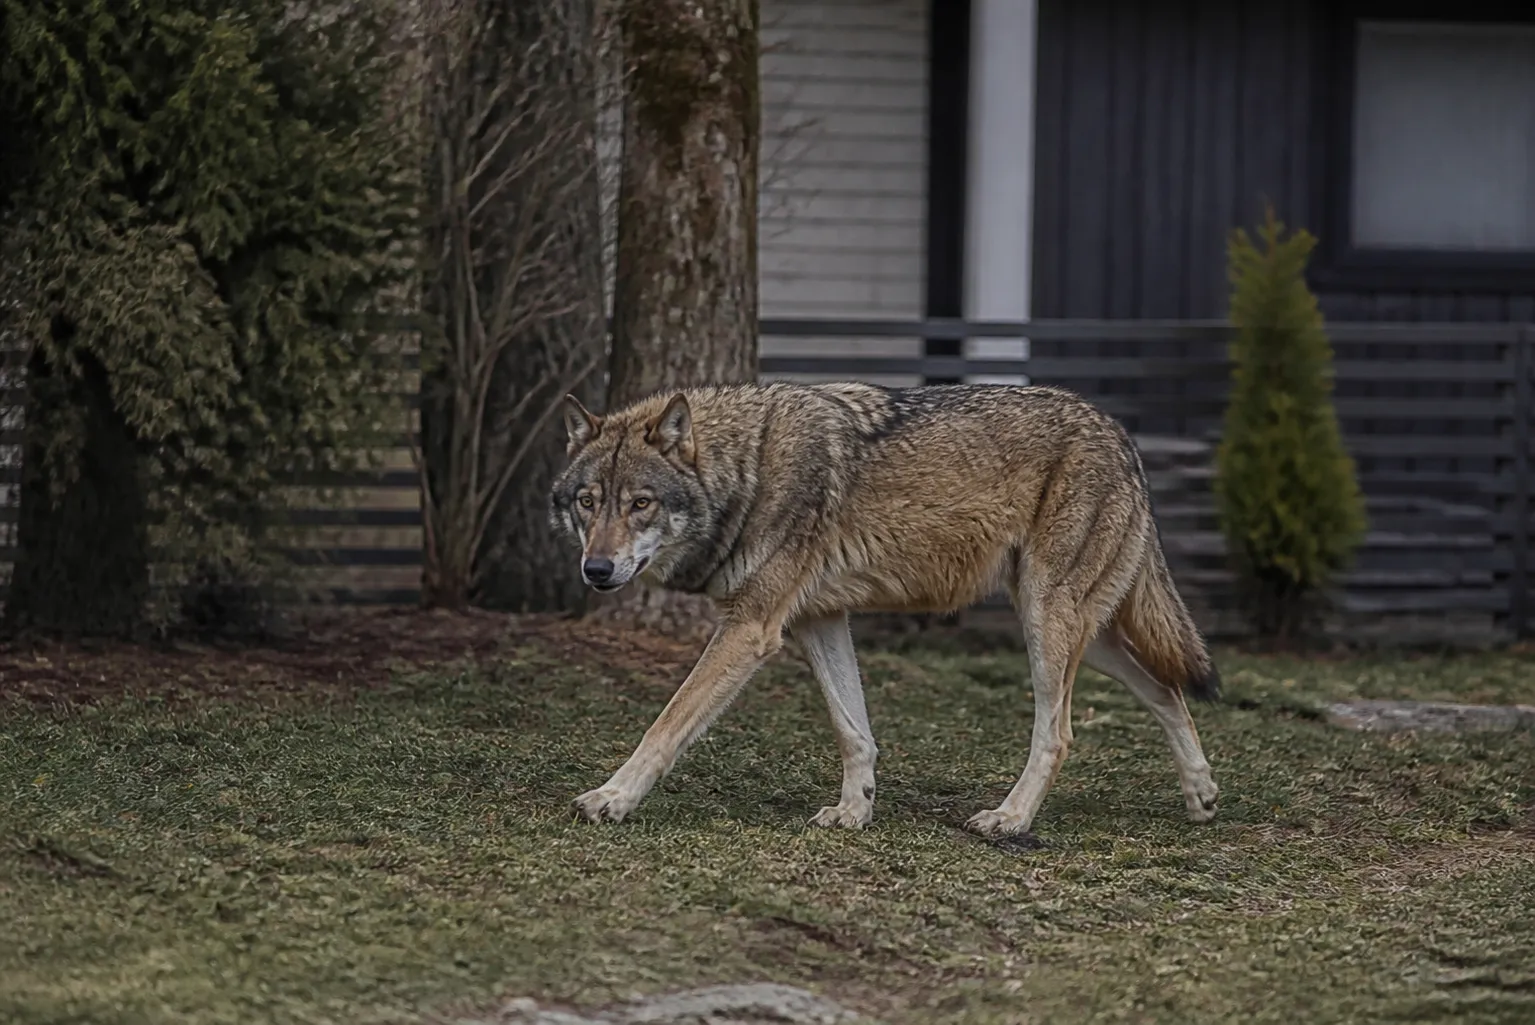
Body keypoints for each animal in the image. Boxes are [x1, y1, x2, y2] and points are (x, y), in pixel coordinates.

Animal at [548, 381, 1221, 838]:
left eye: (640, 503)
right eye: (588, 502)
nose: (596, 570)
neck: (749, 471)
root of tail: (1120, 433)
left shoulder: (751, 628)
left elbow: (665, 725)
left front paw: (612, 797)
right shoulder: (816, 621)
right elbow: (854, 731)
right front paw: (855, 810)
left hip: (1046, 623)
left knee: (1058, 733)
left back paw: (1010, 818)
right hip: (1086, 633)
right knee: (1167, 689)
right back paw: (1202, 795)